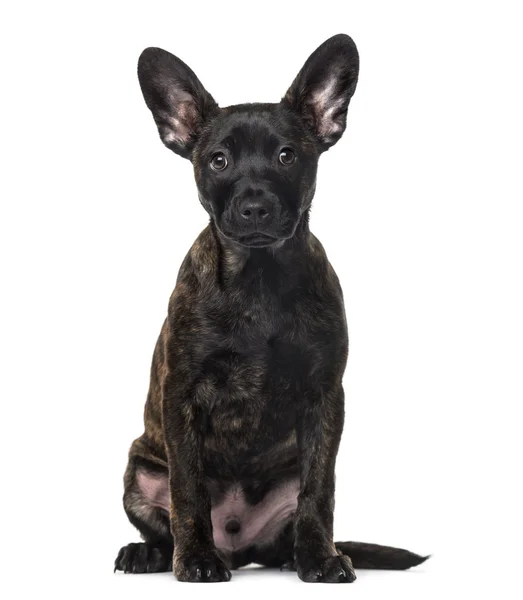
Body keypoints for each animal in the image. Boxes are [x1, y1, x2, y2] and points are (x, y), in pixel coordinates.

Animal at [114, 31, 430, 580]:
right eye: (218, 160)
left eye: (287, 156)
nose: (255, 206)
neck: (259, 281)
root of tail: (240, 550)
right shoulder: (182, 396)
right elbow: (188, 491)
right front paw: (195, 560)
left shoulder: (324, 398)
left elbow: (319, 492)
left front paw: (321, 559)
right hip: (139, 467)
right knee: (163, 519)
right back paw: (154, 553)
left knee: (291, 525)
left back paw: (300, 555)